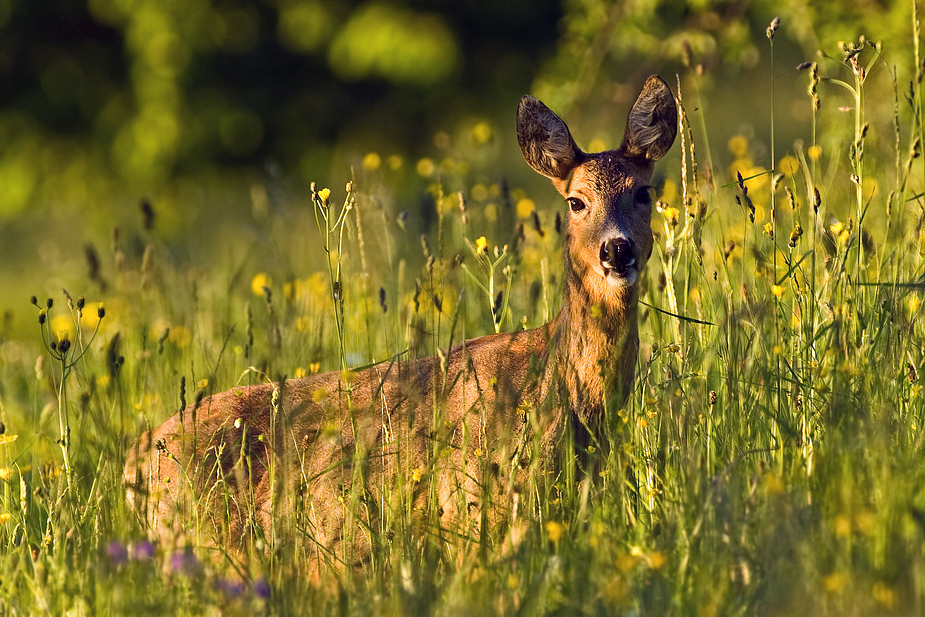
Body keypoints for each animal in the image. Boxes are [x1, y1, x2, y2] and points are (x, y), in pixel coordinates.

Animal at [122, 74, 676, 572]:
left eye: (645, 193)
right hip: (203, 541)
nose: (617, 248)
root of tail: (133, 461)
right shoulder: (471, 509)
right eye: (575, 201)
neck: (563, 392)